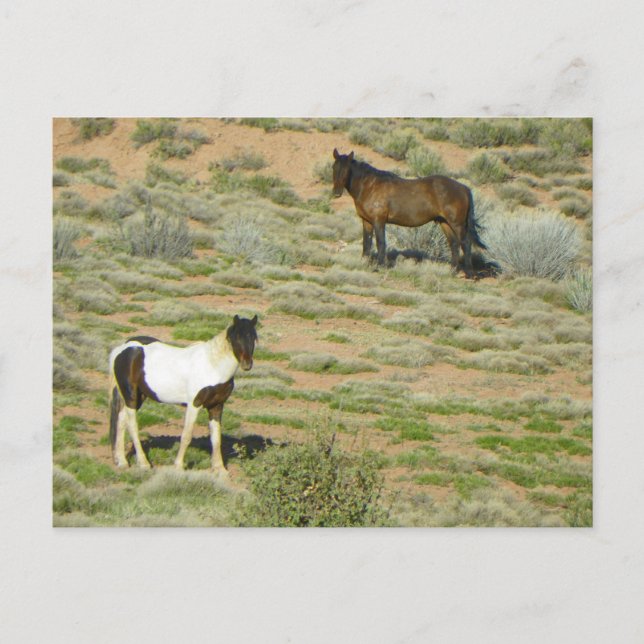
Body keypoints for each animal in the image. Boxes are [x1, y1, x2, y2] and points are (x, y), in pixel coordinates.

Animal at [108, 314, 258, 476]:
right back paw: (143, 463)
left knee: (121, 420)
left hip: (137, 396)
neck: (213, 366)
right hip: (131, 395)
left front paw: (219, 469)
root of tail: (123, 348)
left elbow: (216, 438)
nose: (247, 364)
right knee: (132, 425)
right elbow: (186, 435)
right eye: (236, 337)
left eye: (254, 337)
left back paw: (122, 461)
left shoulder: (216, 406)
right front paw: (178, 466)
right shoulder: (194, 405)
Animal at [331, 148, 487, 277]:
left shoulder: (378, 221)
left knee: (465, 243)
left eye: (347, 169)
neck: (370, 186)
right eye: (334, 167)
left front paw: (380, 266)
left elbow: (380, 242)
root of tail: (464, 188)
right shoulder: (367, 221)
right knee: (454, 244)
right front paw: (364, 263)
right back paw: (452, 271)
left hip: (457, 223)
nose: (336, 193)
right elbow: (366, 243)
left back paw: (469, 273)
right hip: (445, 223)